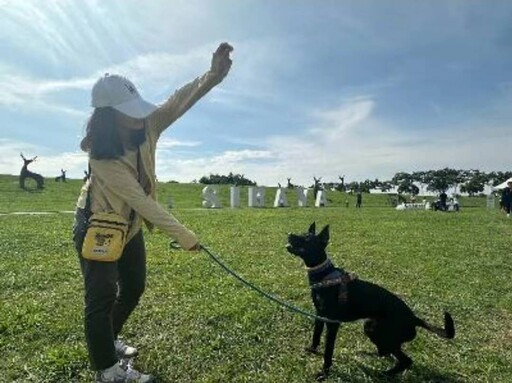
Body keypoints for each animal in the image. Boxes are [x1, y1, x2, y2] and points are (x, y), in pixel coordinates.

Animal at [284, 224, 456, 380]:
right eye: (301, 233)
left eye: (307, 238)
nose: (289, 233)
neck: (324, 276)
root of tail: (414, 318)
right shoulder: (319, 315)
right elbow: (316, 335)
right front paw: (312, 350)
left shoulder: (332, 323)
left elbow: (328, 351)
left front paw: (324, 373)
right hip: (374, 329)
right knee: (386, 352)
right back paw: (370, 355)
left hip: (375, 329)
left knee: (404, 360)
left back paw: (385, 373)